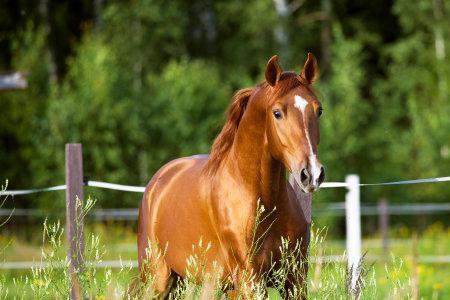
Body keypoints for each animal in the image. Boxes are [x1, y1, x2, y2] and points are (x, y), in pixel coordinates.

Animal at [136, 54, 324, 298]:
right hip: (157, 280)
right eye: (277, 113)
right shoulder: (251, 280)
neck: (264, 202)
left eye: (319, 110)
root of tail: (156, 184)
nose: (311, 173)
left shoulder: (294, 279)